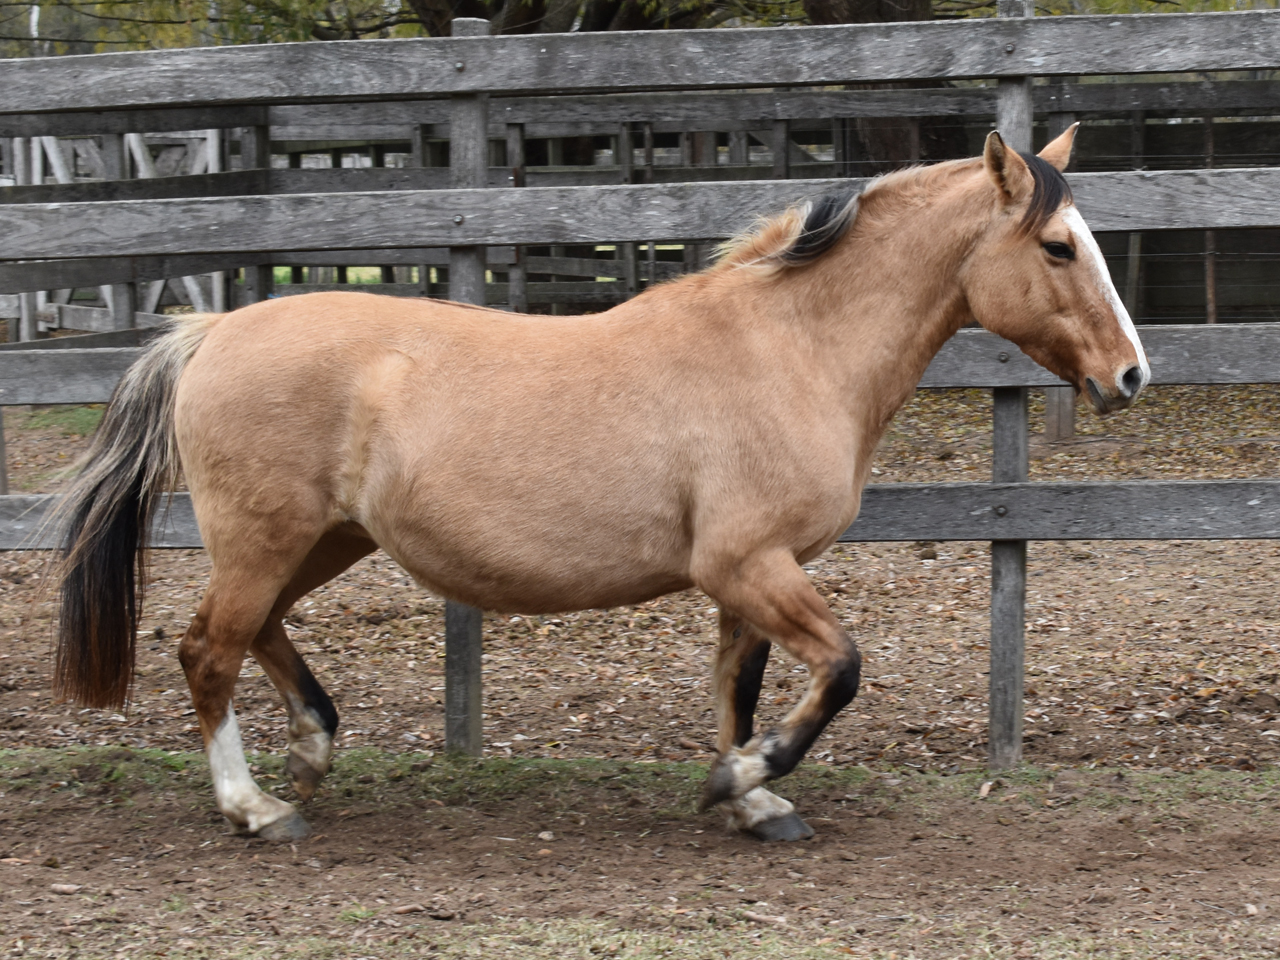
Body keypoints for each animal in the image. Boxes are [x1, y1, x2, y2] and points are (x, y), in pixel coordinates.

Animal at [49, 126, 1152, 839]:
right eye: (1058, 247)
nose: (1130, 376)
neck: (789, 349)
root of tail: (210, 331)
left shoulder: (751, 576)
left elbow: (741, 685)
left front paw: (751, 798)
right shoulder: (747, 564)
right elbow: (838, 670)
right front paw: (741, 778)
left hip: (323, 539)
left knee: (252, 633)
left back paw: (313, 752)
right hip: (265, 535)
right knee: (208, 651)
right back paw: (255, 807)